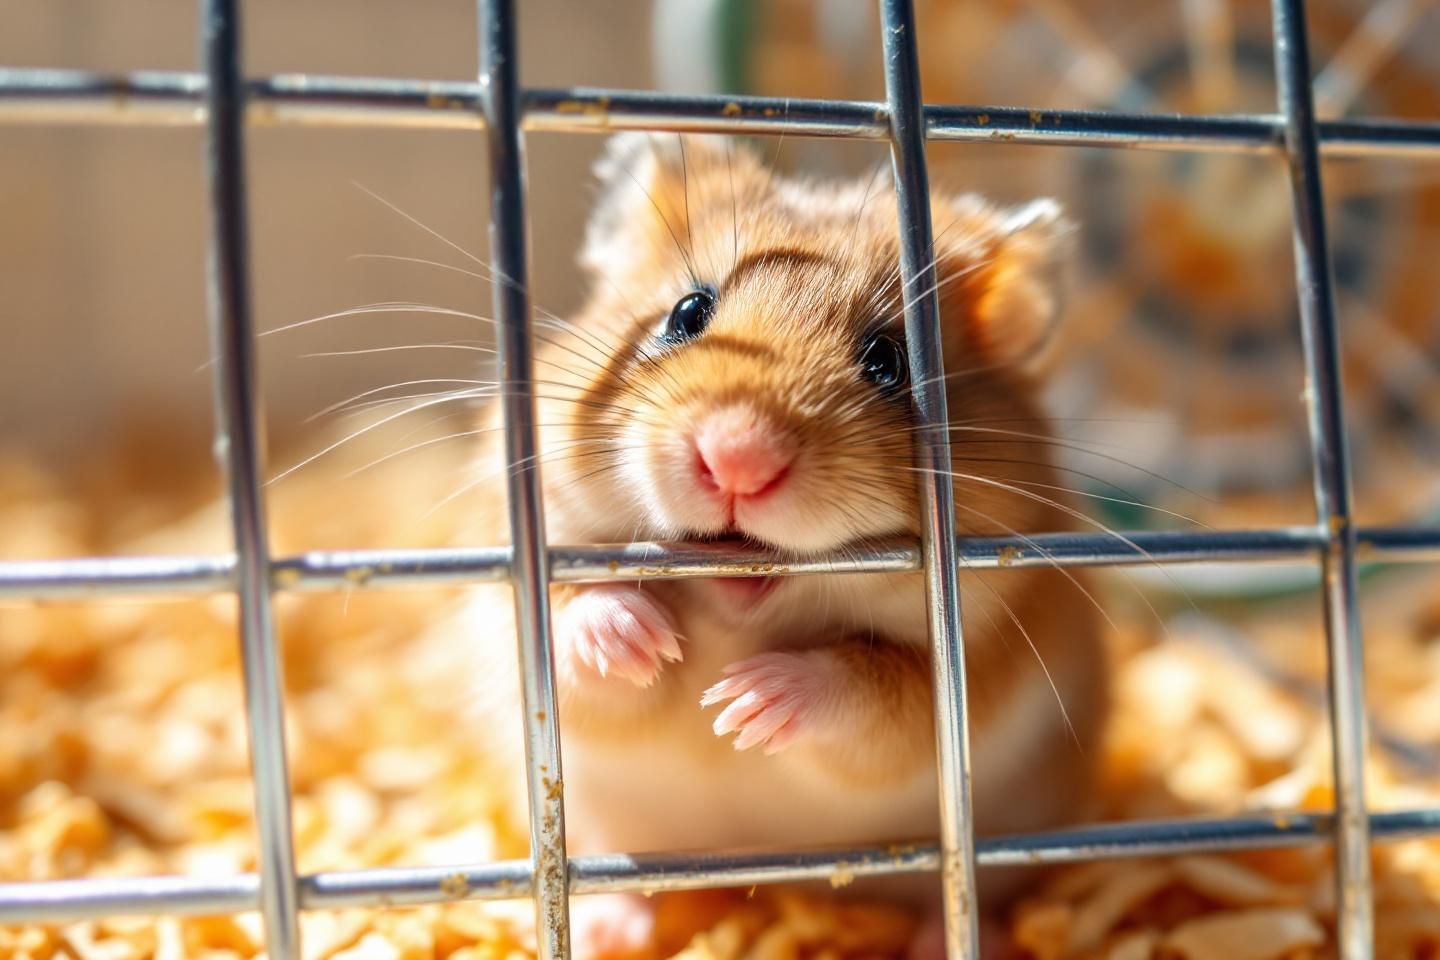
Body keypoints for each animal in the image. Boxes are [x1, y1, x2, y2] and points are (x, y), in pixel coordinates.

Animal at [451, 133, 1108, 958]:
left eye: (888, 360)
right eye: (686, 312)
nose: (738, 459)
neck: (740, 616)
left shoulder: (967, 676)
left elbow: (872, 690)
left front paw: (743, 703)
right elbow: (578, 641)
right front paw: (642, 638)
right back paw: (609, 928)